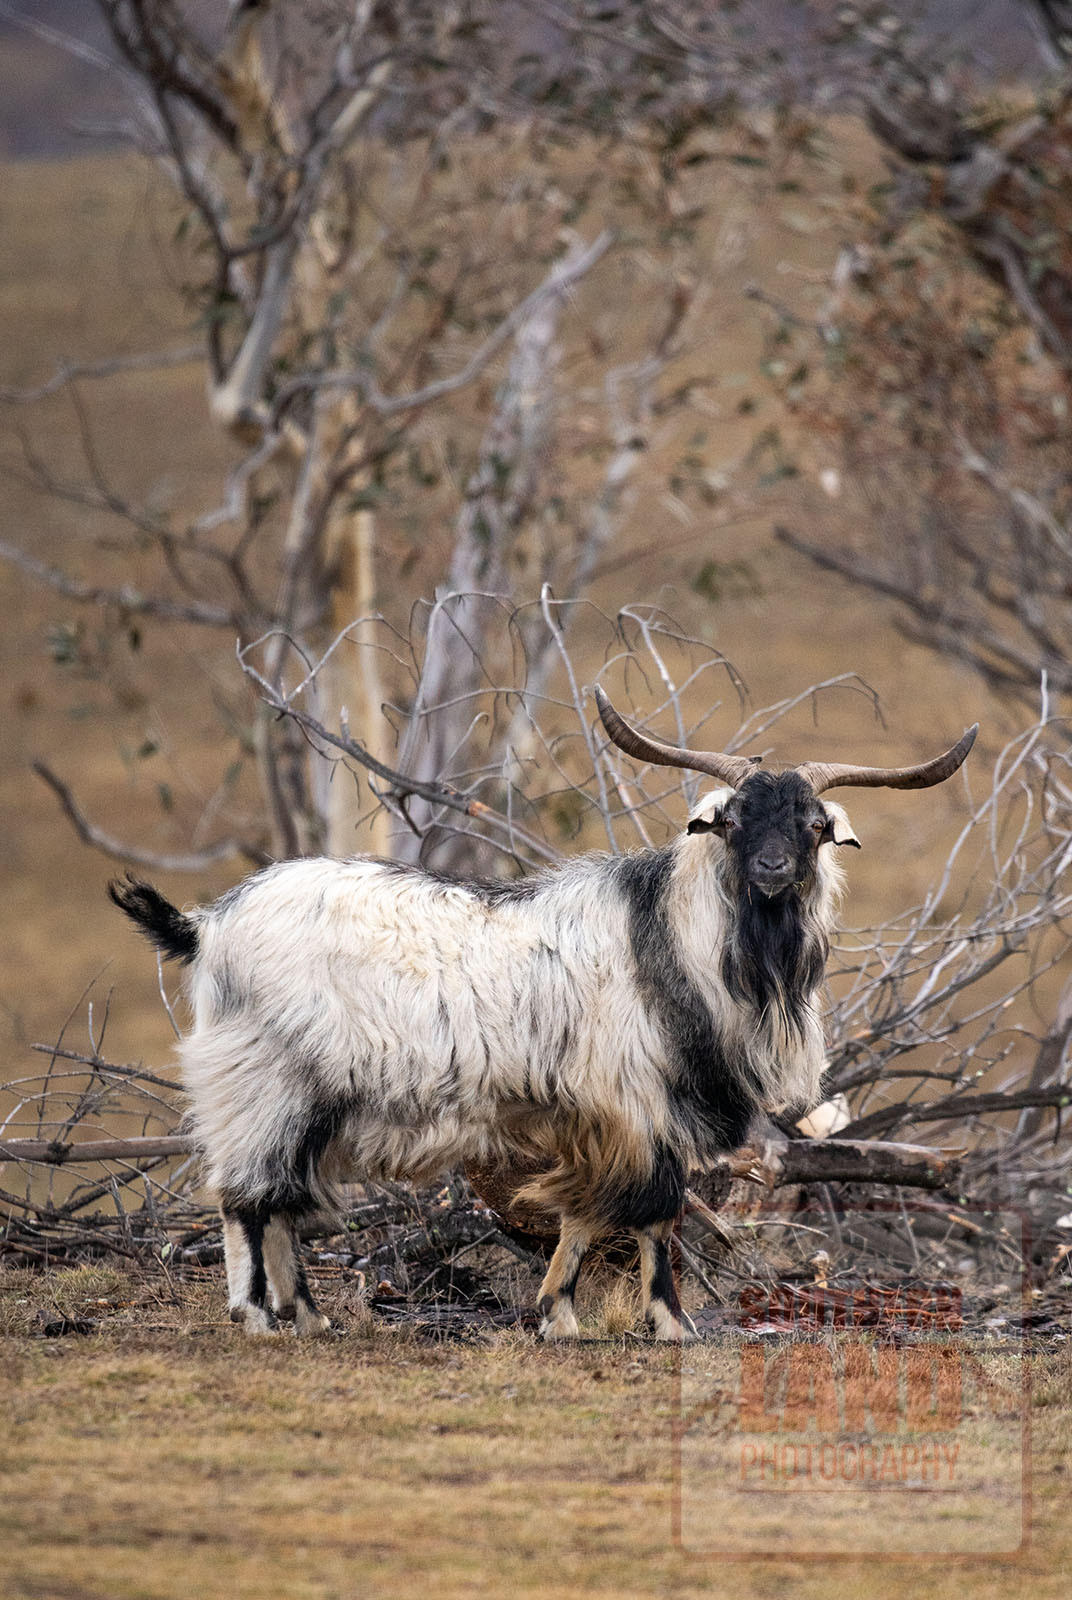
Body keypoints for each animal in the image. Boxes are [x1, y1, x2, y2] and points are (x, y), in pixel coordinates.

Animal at [109, 689, 976, 1340]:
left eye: (812, 825)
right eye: (731, 821)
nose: (769, 869)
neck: (672, 937)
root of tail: (206, 925)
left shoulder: (610, 1114)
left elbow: (589, 1213)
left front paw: (557, 1313)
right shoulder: (636, 1104)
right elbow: (649, 1212)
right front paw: (669, 1324)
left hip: (305, 1094)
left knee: (279, 1200)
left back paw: (309, 1317)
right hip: (263, 1079)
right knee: (245, 1199)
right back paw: (259, 1317)